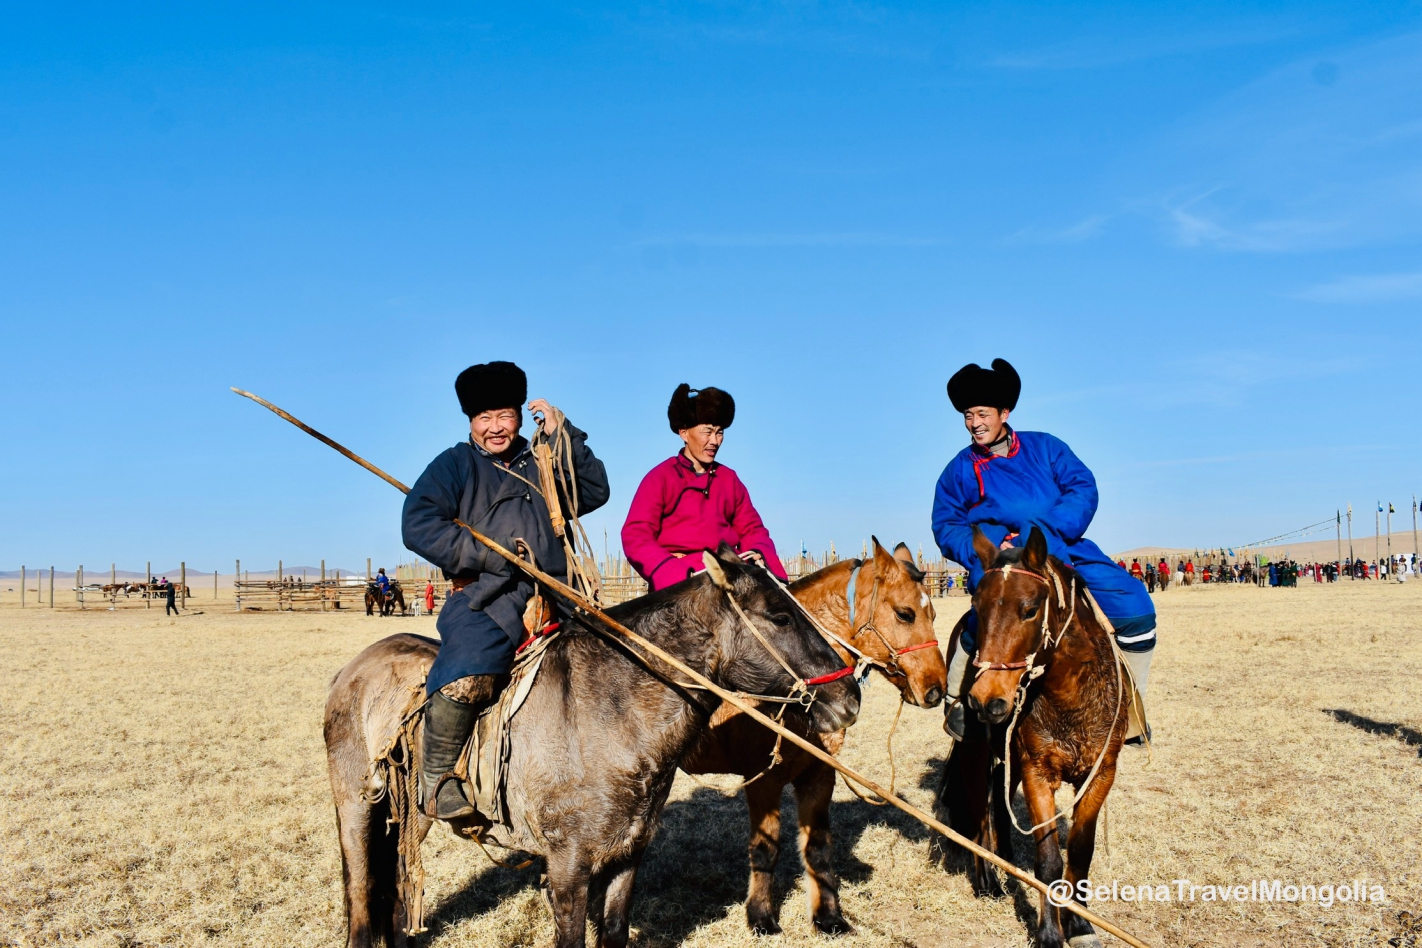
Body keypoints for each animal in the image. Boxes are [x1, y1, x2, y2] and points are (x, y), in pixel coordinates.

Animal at [322, 548, 853, 948]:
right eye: (780, 616)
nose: (849, 697)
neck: (610, 712)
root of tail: (350, 670)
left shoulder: (628, 855)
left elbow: (614, 931)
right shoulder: (568, 866)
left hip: (407, 815)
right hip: (354, 807)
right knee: (360, 894)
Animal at [682, 537, 949, 938]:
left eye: (932, 613)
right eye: (905, 614)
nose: (935, 690)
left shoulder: (819, 774)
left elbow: (819, 847)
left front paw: (829, 917)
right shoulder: (763, 779)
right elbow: (766, 848)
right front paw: (761, 917)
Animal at [932, 525, 1131, 948]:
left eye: (1030, 609)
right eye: (979, 609)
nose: (985, 699)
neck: (1069, 696)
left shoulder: (1100, 774)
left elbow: (1080, 852)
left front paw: (1080, 924)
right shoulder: (1039, 773)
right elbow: (1049, 859)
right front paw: (1049, 934)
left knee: (999, 801)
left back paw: (1006, 859)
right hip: (976, 753)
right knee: (979, 812)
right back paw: (988, 880)